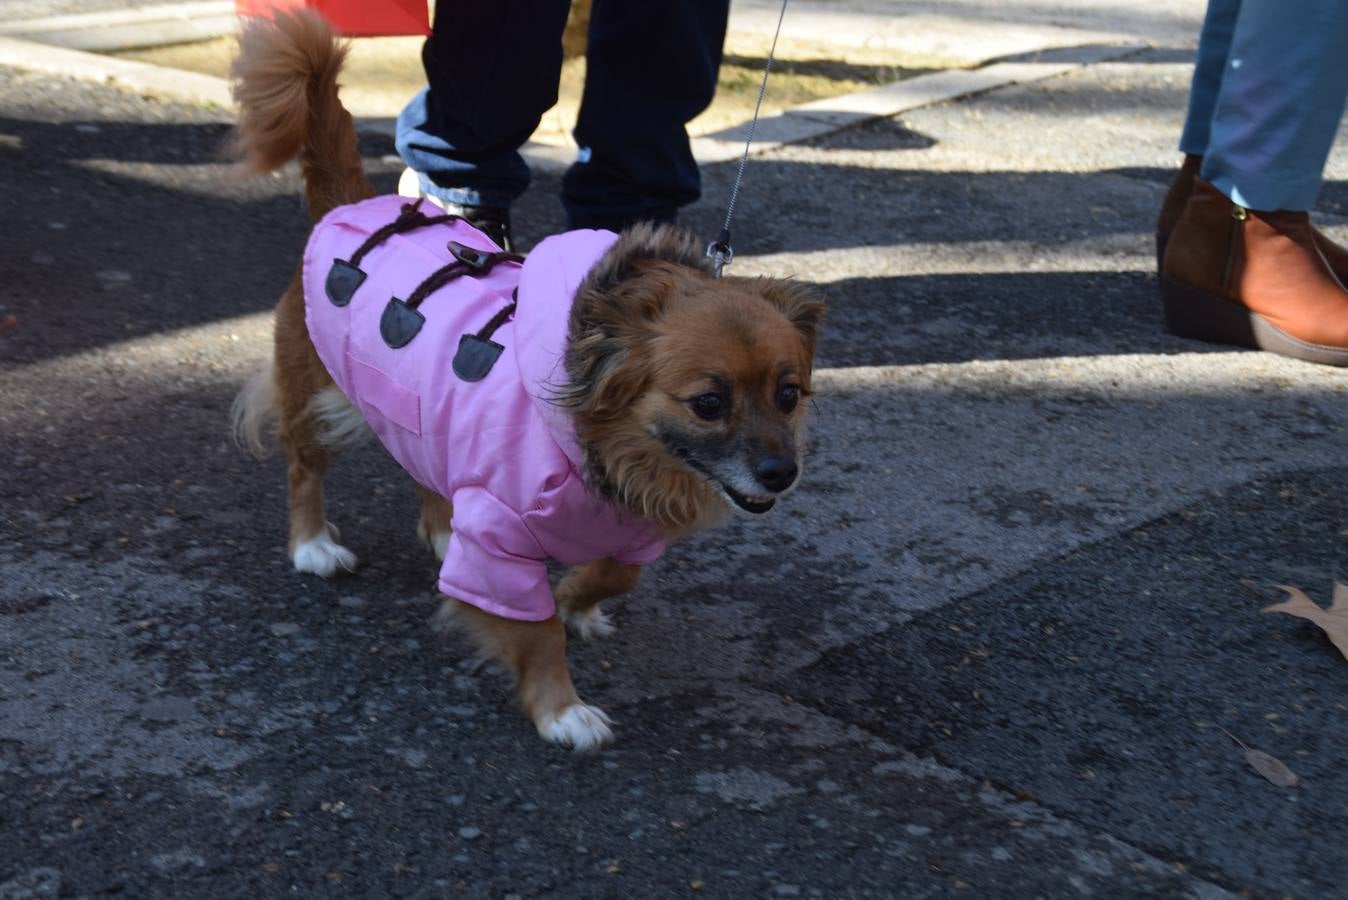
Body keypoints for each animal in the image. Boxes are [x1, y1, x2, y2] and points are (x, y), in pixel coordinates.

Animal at [230, 10, 819, 749]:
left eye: (789, 395)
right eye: (709, 403)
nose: (781, 473)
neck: (606, 451)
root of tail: (348, 206)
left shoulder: (631, 535)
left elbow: (615, 574)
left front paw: (574, 601)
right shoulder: (501, 549)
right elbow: (536, 633)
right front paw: (561, 710)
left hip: (426, 416)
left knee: (427, 472)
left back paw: (444, 532)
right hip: (320, 399)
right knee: (303, 469)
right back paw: (313, 545)